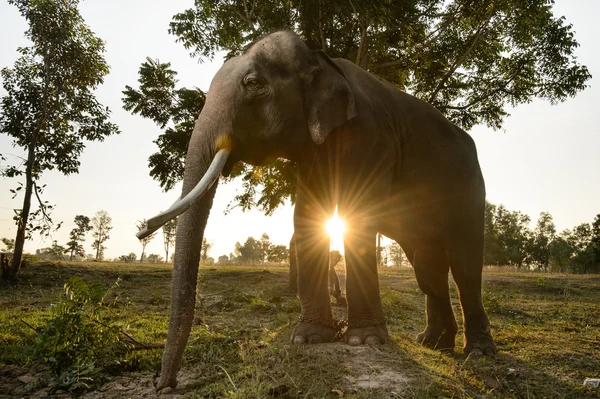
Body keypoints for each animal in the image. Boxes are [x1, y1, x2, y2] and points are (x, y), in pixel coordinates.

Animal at [139, 30, 496, 390]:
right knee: (427, 269)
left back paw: (478, 351)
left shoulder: (373, 137)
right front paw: (310, 338)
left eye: (252, 83)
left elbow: (358, 214)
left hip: (469, 189)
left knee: (464, 265)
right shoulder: (312, 151)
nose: (164, 384)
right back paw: (433, 343)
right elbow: (308, 211)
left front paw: (364, 340)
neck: (321, 60)